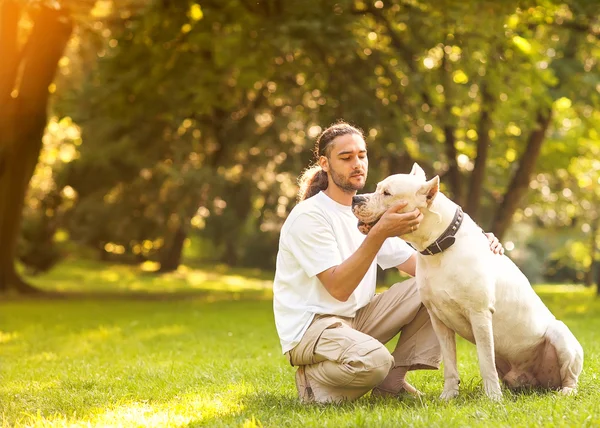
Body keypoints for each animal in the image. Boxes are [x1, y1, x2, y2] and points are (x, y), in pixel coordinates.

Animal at [352, 164, 580, 402]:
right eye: (377, 188)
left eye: (387, 193)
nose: (356, 199)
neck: (439, 247)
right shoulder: (438, 320)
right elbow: (450, 363)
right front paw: (448, 396)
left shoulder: (479, 315)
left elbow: (485, 361)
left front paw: (493, 398)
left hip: (561, 336)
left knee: (570, 376)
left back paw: (565, 391)